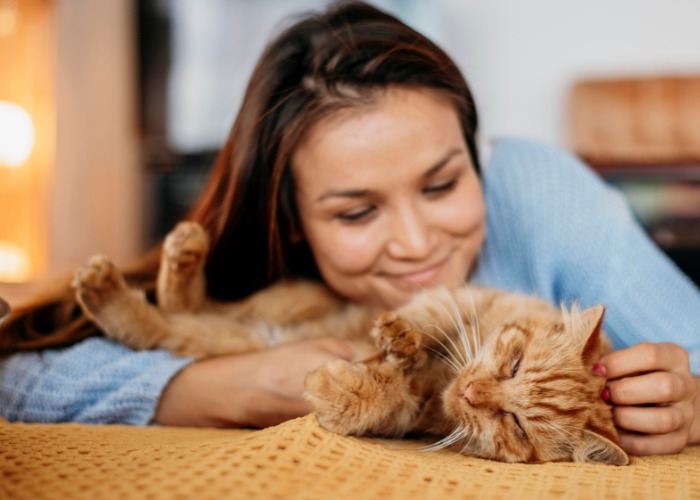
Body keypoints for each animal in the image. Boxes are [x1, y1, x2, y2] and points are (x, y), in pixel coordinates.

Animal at [72, 222, 628, 464]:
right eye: (512, 363)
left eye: (515, 425)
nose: (472, 394)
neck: (444, 376)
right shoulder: (454, 296)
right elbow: (420, 321)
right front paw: (396, 338)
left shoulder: (414, 412)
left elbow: (383, 396)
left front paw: (342, 386)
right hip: (287, 299)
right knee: (184, 301)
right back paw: (179, 251)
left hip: (223, 336)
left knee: (159, 322)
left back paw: (110, 288)